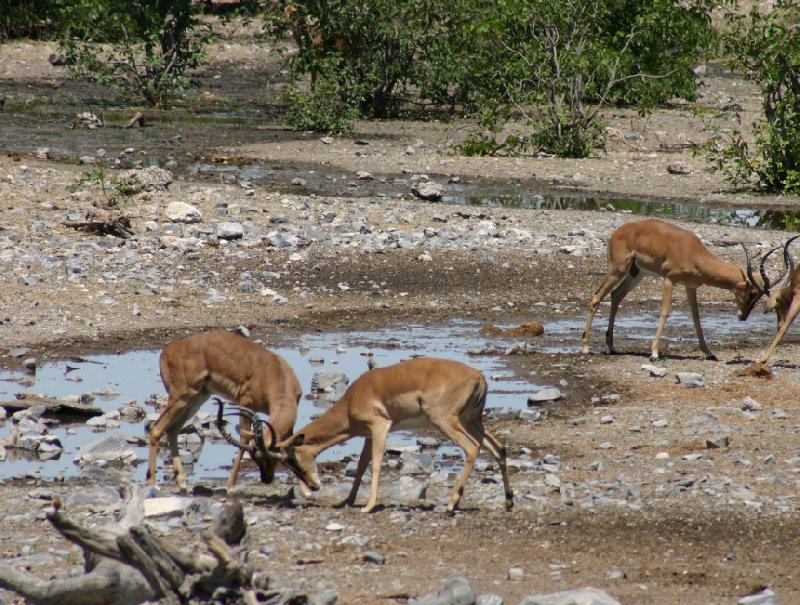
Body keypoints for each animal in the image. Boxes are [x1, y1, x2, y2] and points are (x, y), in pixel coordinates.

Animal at [146, 330, 300, 490]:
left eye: (270, 458)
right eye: (256, 458)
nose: (266, 479)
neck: (274, 372)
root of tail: (165, 352)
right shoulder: (245, 404)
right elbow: (243, 440)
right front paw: (231, 485)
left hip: (196, 399)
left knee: (172, 429)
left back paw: (182, 482)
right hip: (181, 397)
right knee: (156, 428)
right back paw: (152, 483)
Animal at [262, 356, 512, 516]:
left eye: (291, 459)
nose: (313, 487)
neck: (353, 397)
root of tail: (478, 377)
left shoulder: (380, 427)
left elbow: (376, 464)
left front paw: (368, 506)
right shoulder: (368, 434)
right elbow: (361, 464)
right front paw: (348, 500)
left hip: (446, 422)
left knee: (472, 448)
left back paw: (452, 504)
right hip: (472, 421)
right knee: (499, 448)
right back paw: (508, 502)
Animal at [584, 219, 764, 360]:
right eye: (752, 293)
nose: (743, 316)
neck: (693, 252)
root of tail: (616, 233)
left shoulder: (690, 286)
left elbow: (696, 316)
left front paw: (709, 352)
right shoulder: (669, 280)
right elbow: (665, 311)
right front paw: (654, 353)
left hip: (636, 274)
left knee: (616, 295)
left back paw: (611, 347)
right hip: (617, 270)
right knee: (596, 297)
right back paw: (586, 347)